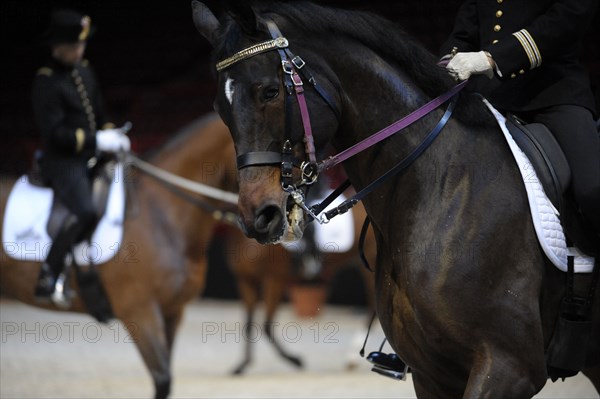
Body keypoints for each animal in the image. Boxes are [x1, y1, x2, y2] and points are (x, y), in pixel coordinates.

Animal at [192, 3, 600, 399]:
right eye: (219, 108)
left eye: (270, 93)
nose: (258, 217)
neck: (444, 186)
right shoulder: (434, 375)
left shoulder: (510, 368)